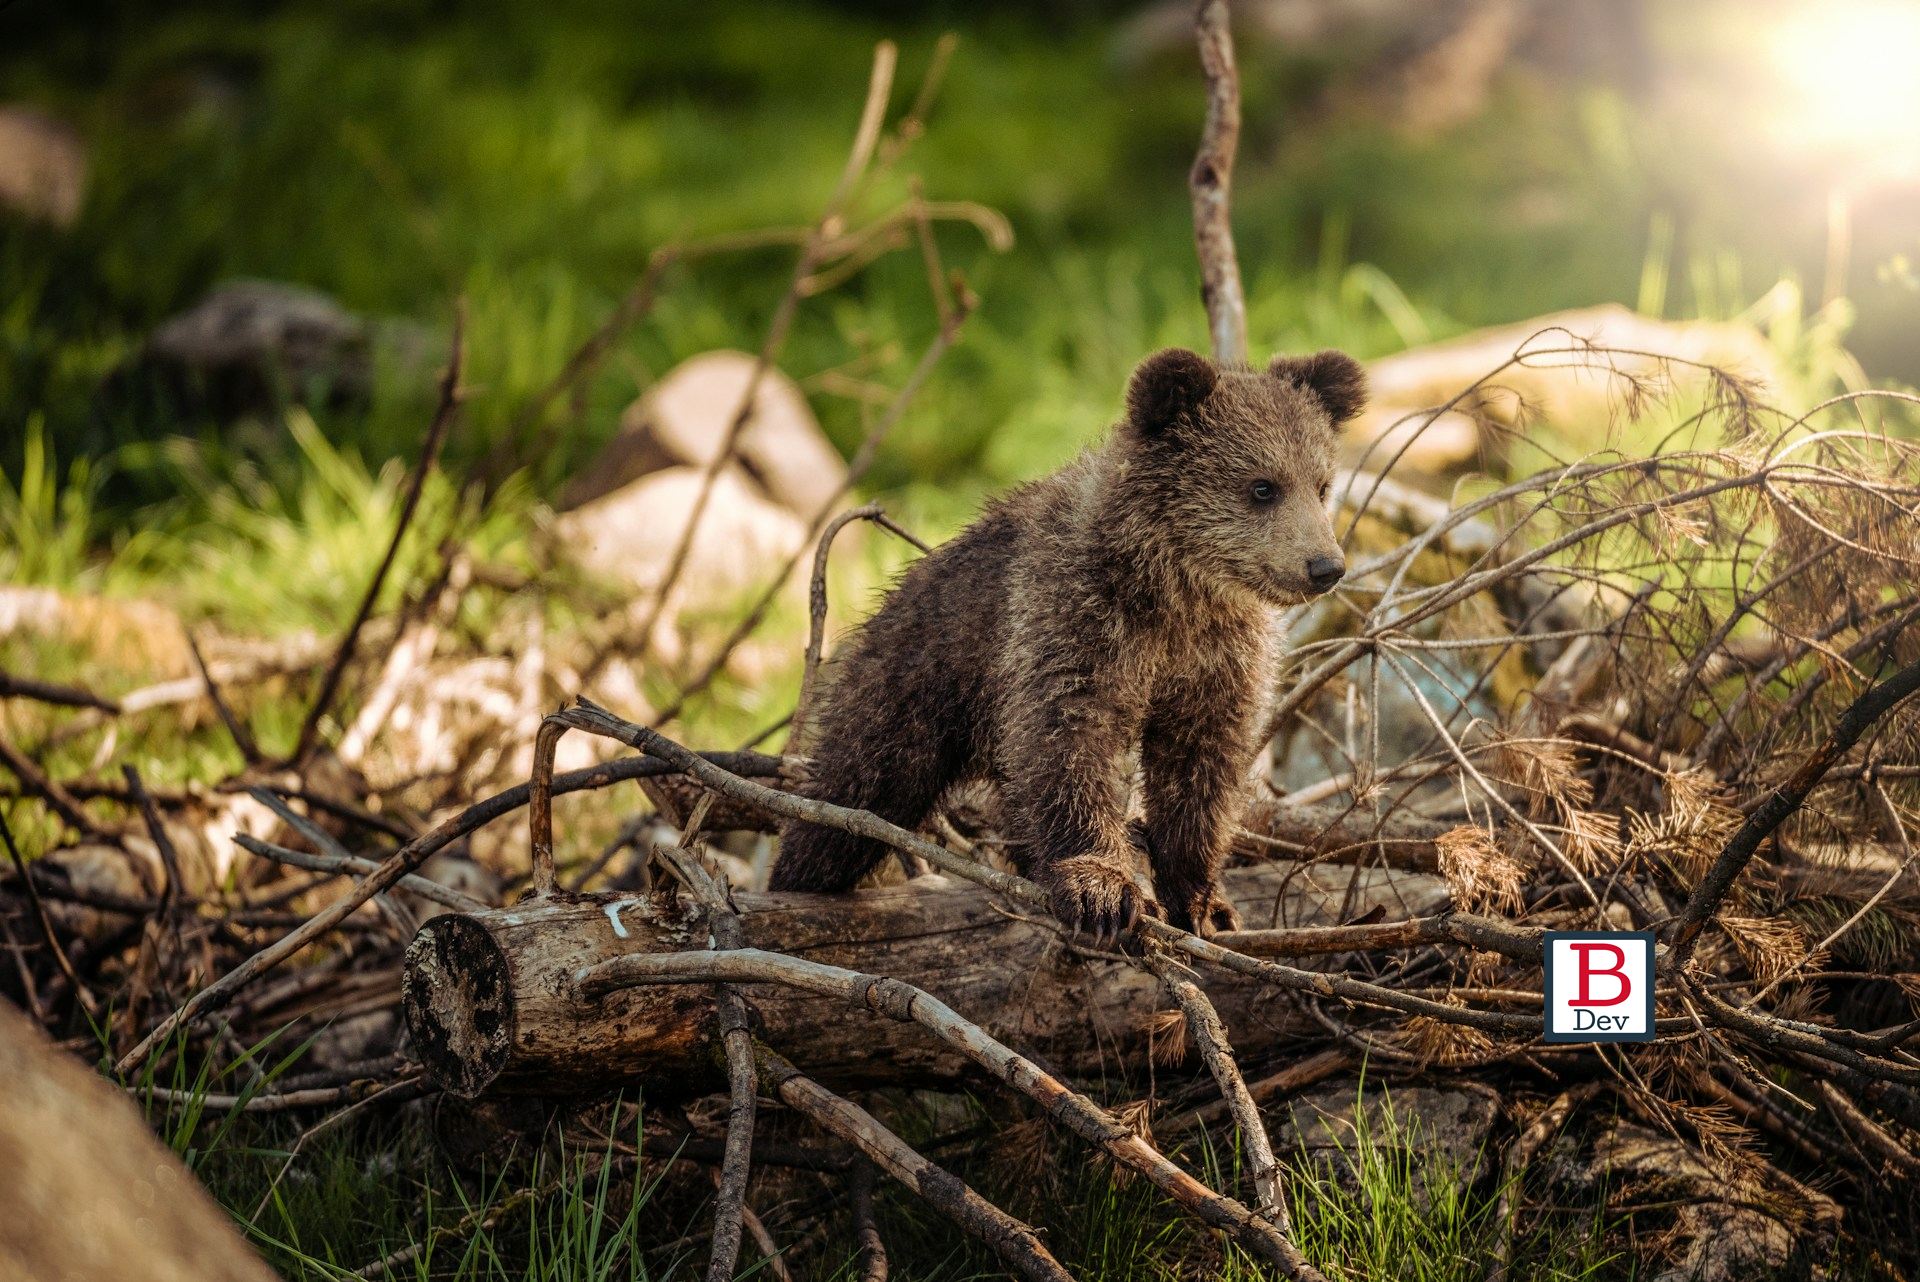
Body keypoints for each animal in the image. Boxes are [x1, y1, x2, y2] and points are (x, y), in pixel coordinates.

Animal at [769, 346, 1365, 937]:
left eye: (1321, 484)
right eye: (1262, 486)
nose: (1325, 566)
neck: (1175, 590)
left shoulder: (1216, 657)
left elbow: (1201, 765)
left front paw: (1204, 902)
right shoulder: (1074, 620)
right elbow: (1069, 740)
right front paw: (1102, 889)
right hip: (912, 685)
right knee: (852, 794)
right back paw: (798, 878)